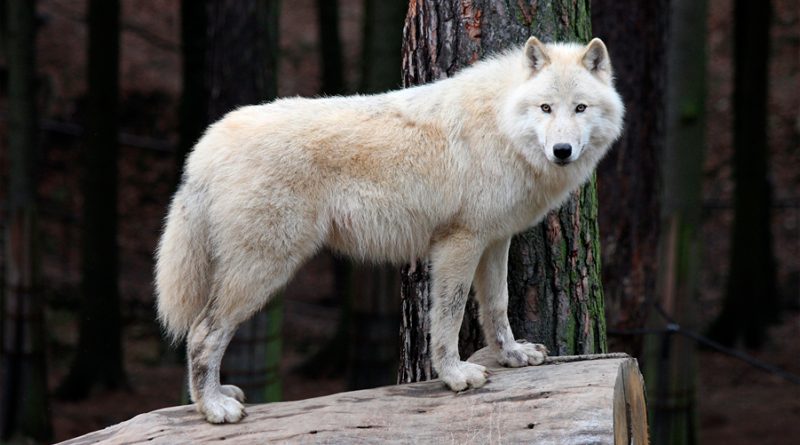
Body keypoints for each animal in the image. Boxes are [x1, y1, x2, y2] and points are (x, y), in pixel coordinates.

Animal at [155, 36, 624, 422]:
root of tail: (206, 145)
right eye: (546, 108)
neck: (501, 124)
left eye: (580, 108)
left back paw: (215, 397)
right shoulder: (458, 242)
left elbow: (497, 307)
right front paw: (455, 375)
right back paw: (214, 407)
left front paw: (512, 355)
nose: (561, 150)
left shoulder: (494, 240)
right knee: (202, 334)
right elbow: (449, 316)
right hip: (263, 270)